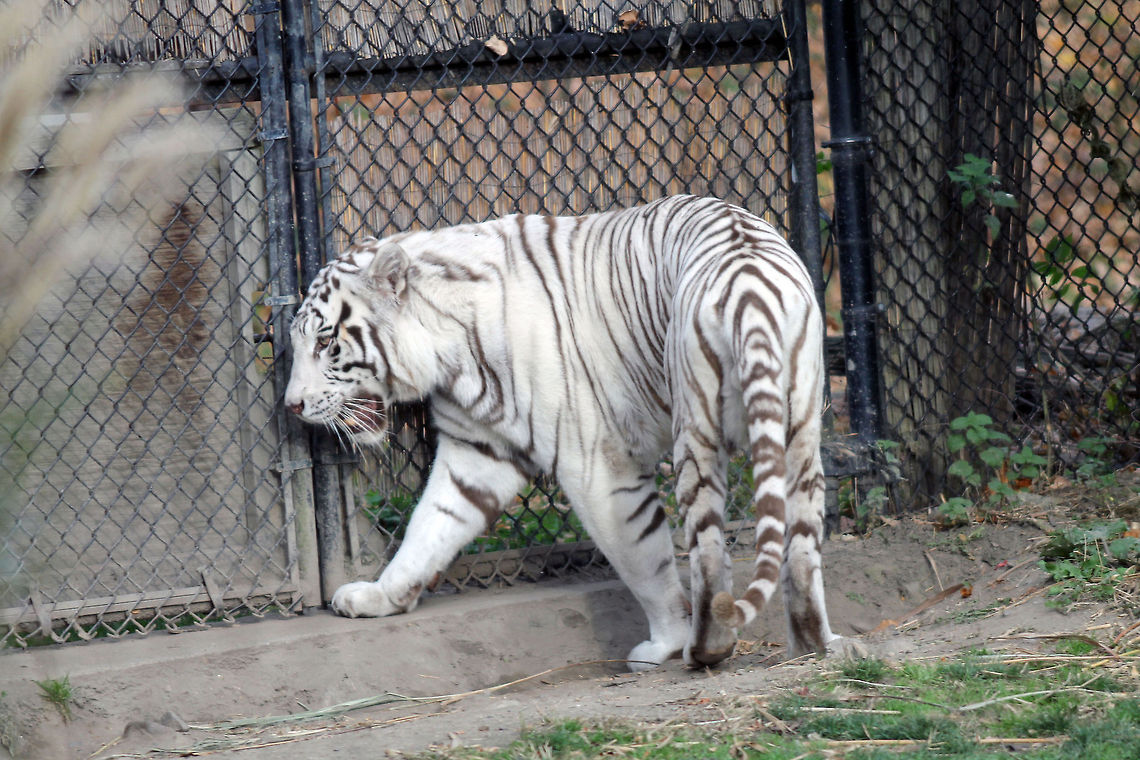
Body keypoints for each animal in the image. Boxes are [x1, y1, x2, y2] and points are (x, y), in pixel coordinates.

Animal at [284, 195, 850, 670]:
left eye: (326, 342)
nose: (292, 405)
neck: (451, 352)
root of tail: (749, 285)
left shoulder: (599, 465)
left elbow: (646, 562)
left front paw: (664, 642)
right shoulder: (477, 452)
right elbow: (430, 526)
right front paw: (380, 597)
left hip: (698, 434)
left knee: (709, 551)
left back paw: (703, 649)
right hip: (800, 431)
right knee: (802, 547)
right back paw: (815, 646)